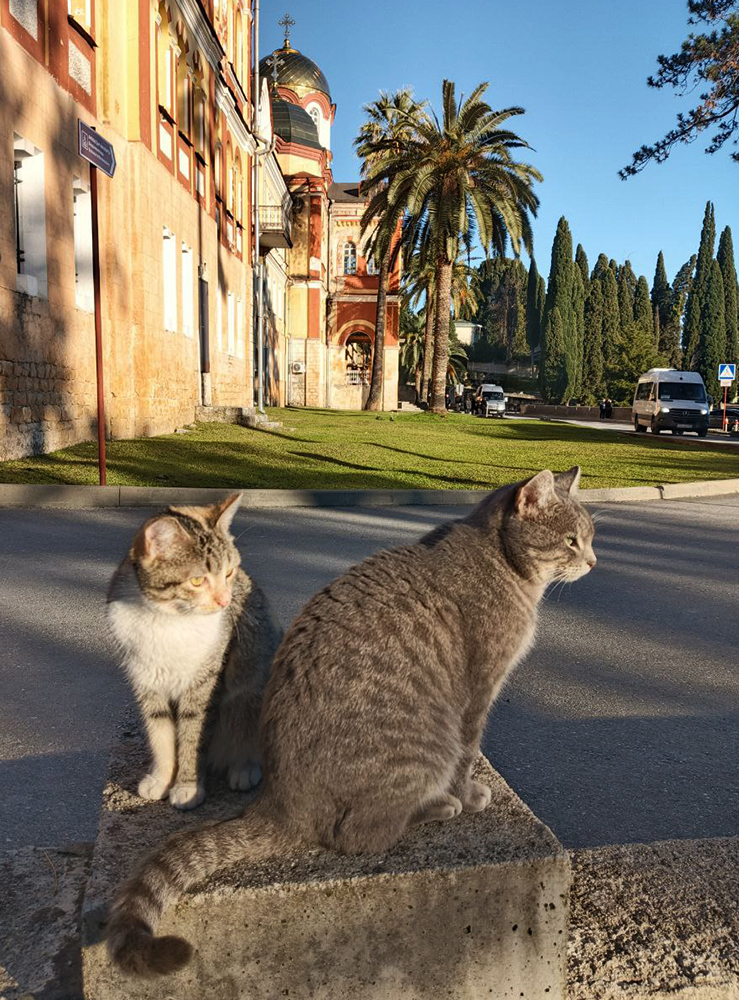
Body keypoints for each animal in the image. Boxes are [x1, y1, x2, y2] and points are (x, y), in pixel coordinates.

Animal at [107, 492, 284, 812]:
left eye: (229, 572)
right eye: (198, 580)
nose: (225, 601)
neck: (168, 619)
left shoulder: (204, 682)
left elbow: (192, 734)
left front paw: (187, 787)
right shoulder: (146, 680)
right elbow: (160, 733)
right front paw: (163, 778)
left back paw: (244, 767)